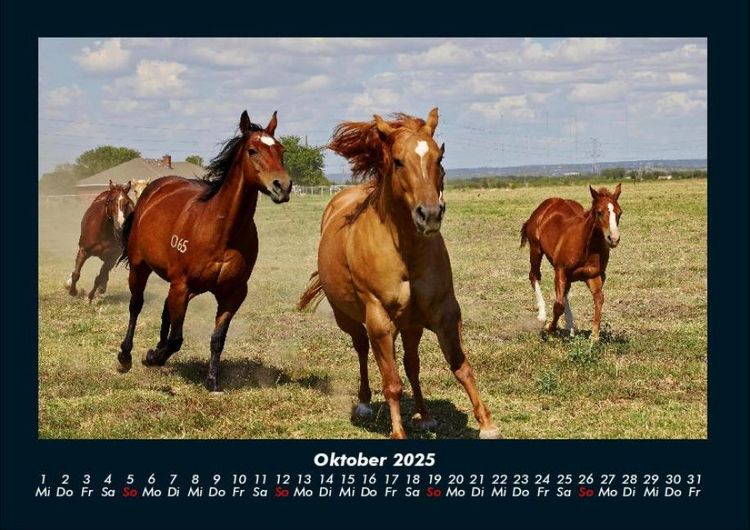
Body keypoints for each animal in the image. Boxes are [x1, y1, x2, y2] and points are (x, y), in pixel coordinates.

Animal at [116, 110, 292, 391]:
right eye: (252, 150)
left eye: (281, 150)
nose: (282, 186)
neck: (221, 232)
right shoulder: (182, 285)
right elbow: (177, 339)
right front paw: (152, 357)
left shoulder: (232, 293)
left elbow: (217, 338)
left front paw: (211, 381)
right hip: (140, 267)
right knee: (136, 305)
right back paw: (126, 356)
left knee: (166, 311)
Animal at [298, 109, 500, 440]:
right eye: (397, 161)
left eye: (439, 158)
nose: (429, 215)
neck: (404, 251)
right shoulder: (380, 321)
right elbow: (391, 383)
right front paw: (398, 432)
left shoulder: (444, 312)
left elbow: (460, 366)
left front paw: (487, 424)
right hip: (350, 319)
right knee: (362, 349)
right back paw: (364, 403)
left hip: (411, 325)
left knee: (412, 364)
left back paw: (424, 414)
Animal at [520, 184, 622, 340]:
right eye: (599, 212)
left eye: (619, 213)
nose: (614, 239)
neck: (586, 246)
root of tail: (546, 205)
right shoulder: (560, 269)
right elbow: (558, 305)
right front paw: (549, 329)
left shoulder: (594, 275)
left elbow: (599, 299)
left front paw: (594, 336)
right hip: (536, 249)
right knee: (534, 275)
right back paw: (542, 316)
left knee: (564, 292)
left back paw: (571, 327)